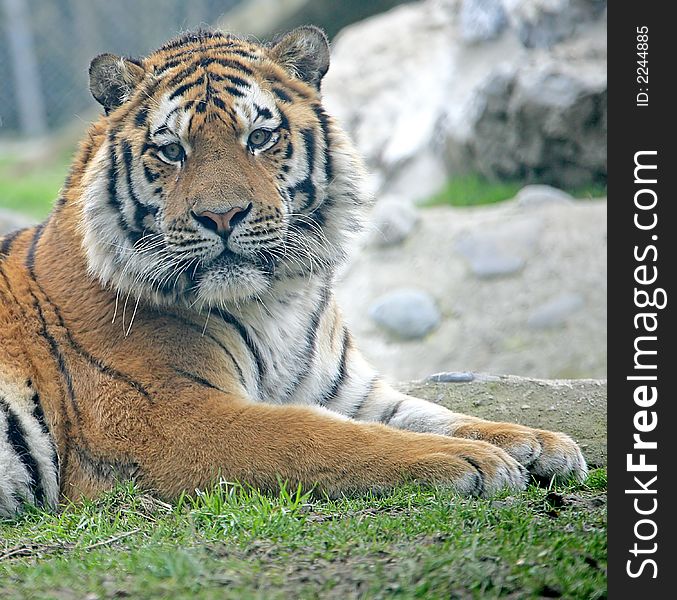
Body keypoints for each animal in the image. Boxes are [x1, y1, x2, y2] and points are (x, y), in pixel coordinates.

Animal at [0, 25, 588, 516]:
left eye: (259, 138)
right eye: (171, 151)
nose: (222, 216)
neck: (276, 300)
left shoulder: (348, 390)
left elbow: (429, 411)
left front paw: (539, 442)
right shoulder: (168, 417)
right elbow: (321, 435)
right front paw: (469, 460)